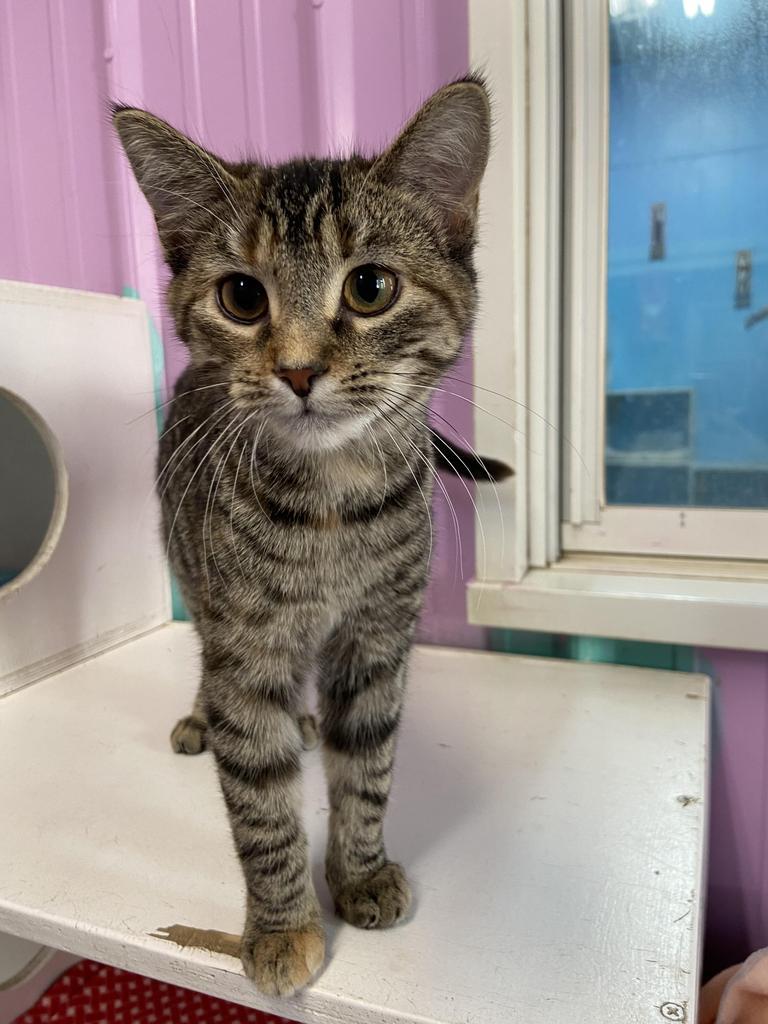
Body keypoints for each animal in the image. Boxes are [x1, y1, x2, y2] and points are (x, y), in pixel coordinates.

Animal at [112, 75, 499, 995]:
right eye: (242, 297)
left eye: (370, 287)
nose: (296, 368)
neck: (332, 505)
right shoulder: (247, 647)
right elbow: (259, 796)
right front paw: (283, 927)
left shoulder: (378, 637)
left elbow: (370, 764)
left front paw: (358, 873)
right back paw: (205, 718)